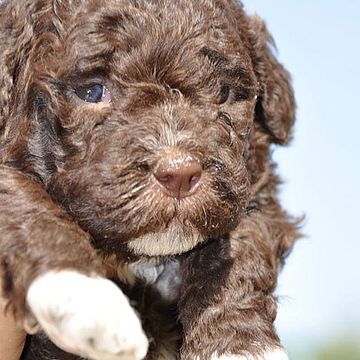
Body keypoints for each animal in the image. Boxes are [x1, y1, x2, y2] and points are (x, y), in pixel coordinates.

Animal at [0, 0, 298, 360]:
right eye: (92, 91)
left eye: (223, 93)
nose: (180, 173)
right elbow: (23, 200)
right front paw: (85, 297)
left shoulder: (251, 186)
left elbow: (238, 247)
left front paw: (239, 345)